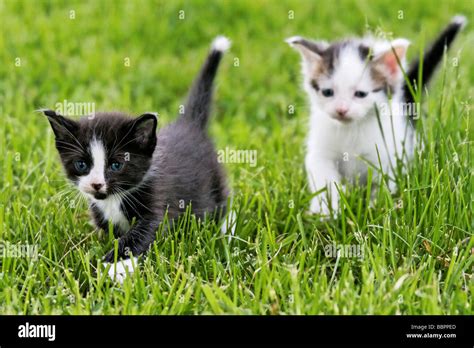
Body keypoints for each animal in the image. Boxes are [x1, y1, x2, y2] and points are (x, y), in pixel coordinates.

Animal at [43, 36, 232, 264]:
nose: (96, 184)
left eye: (116, 165)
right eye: (81, 164)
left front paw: (112, 265)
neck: (114, 199)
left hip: (214, 179)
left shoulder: (158, 201)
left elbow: (143, 234)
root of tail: (189, 123)